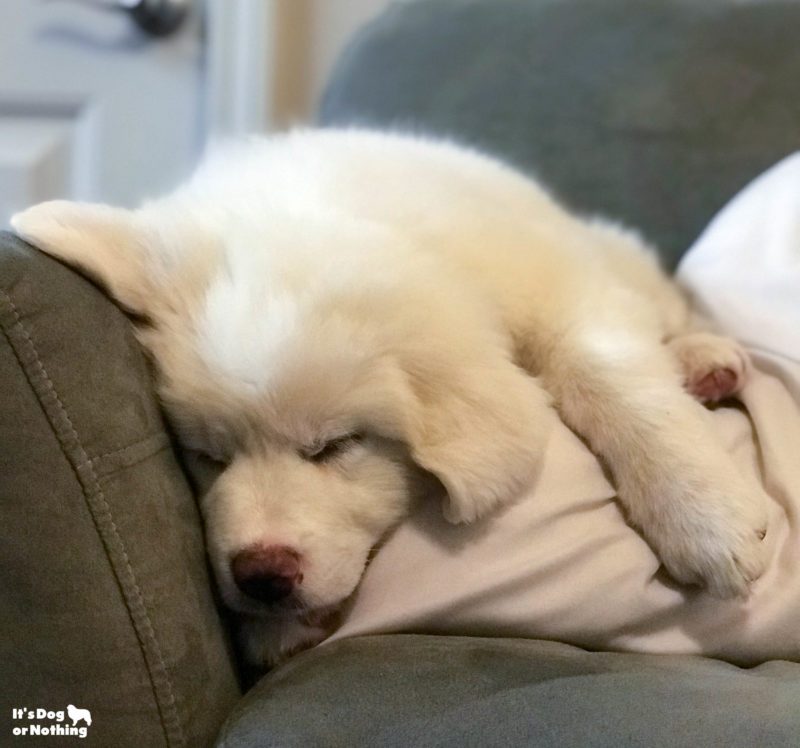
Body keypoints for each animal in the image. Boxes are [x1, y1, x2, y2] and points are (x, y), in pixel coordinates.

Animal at [9, 127, 764, 668]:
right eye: (207, 456)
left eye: (336, 446)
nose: (261, 577)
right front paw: (279, 631)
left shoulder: (567, 299)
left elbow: (615, 381)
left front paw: (709, 519)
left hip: (615, 257)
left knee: (665, 310)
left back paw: (704, 361)